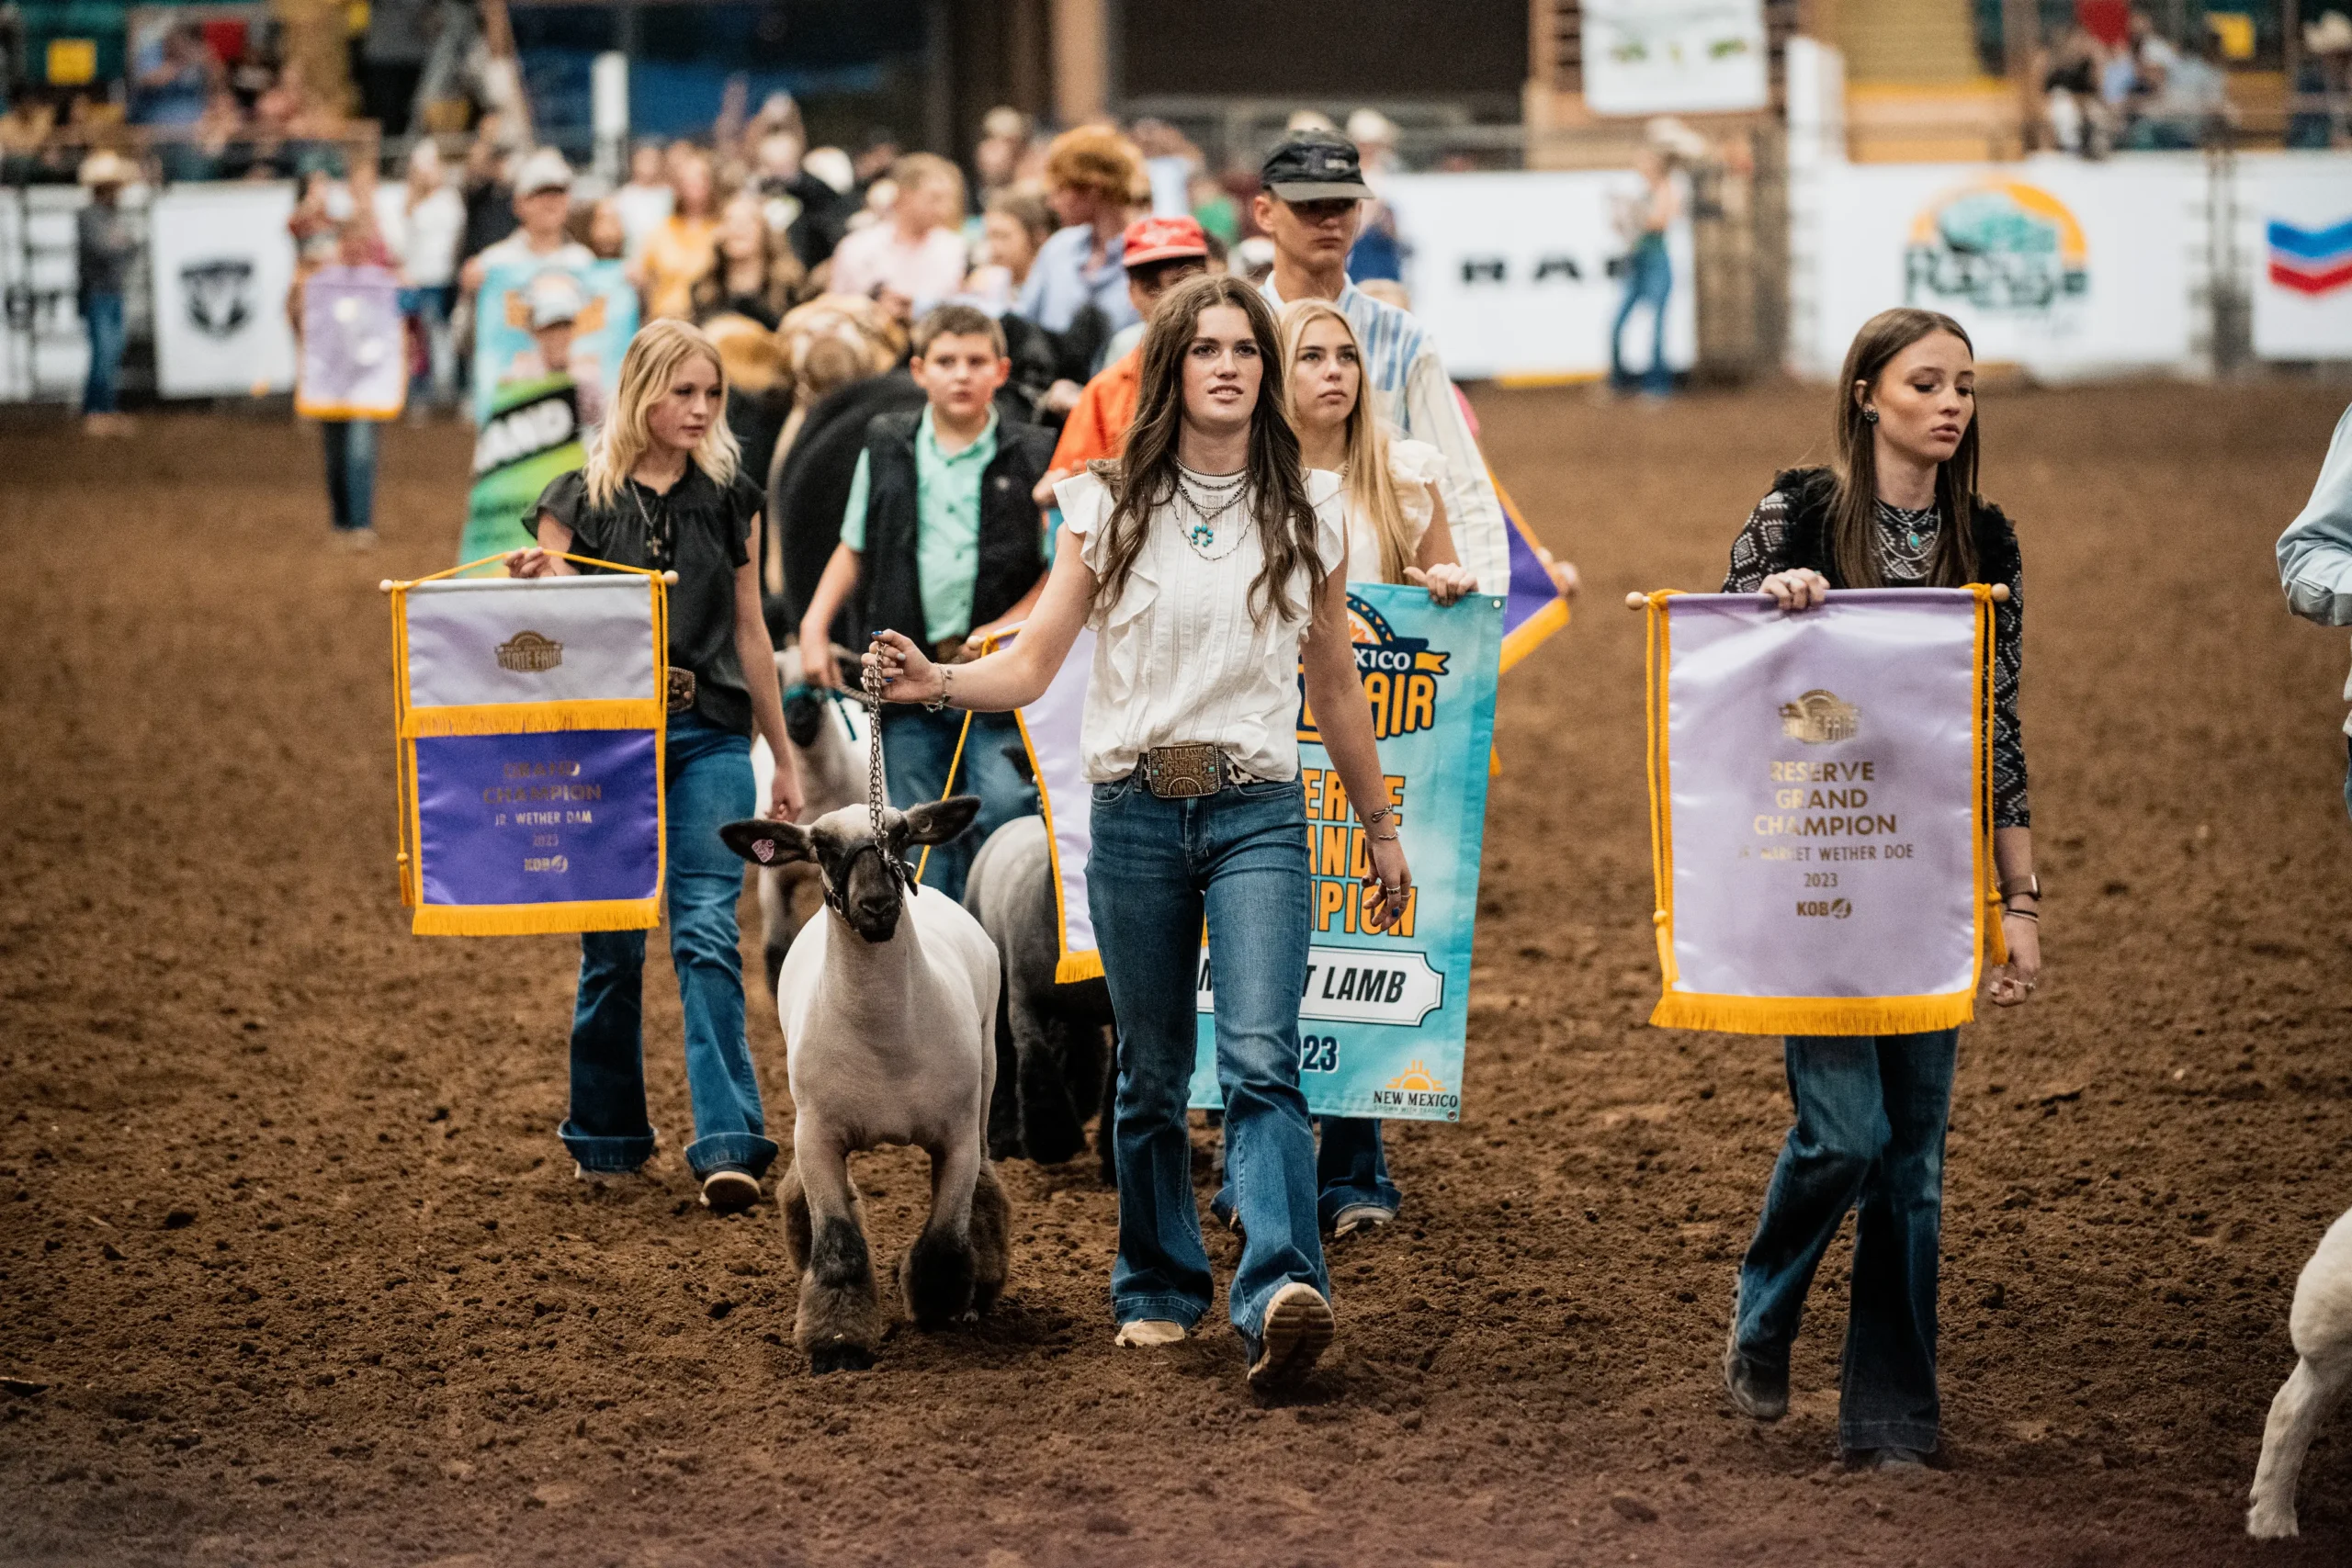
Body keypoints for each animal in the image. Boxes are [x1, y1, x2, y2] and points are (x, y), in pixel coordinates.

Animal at [715, 804, 1011, 1363]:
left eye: (900, 835)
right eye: (822, 847)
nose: (877, 906)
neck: (884, 1041)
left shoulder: (957, 1138)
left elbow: (945, 1236)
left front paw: (935, 1306)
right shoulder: (818, 1138)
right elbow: (839, 1244)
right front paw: (837, 1342)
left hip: (986, 1075)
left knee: (985, 1184)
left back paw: (982, 1281)